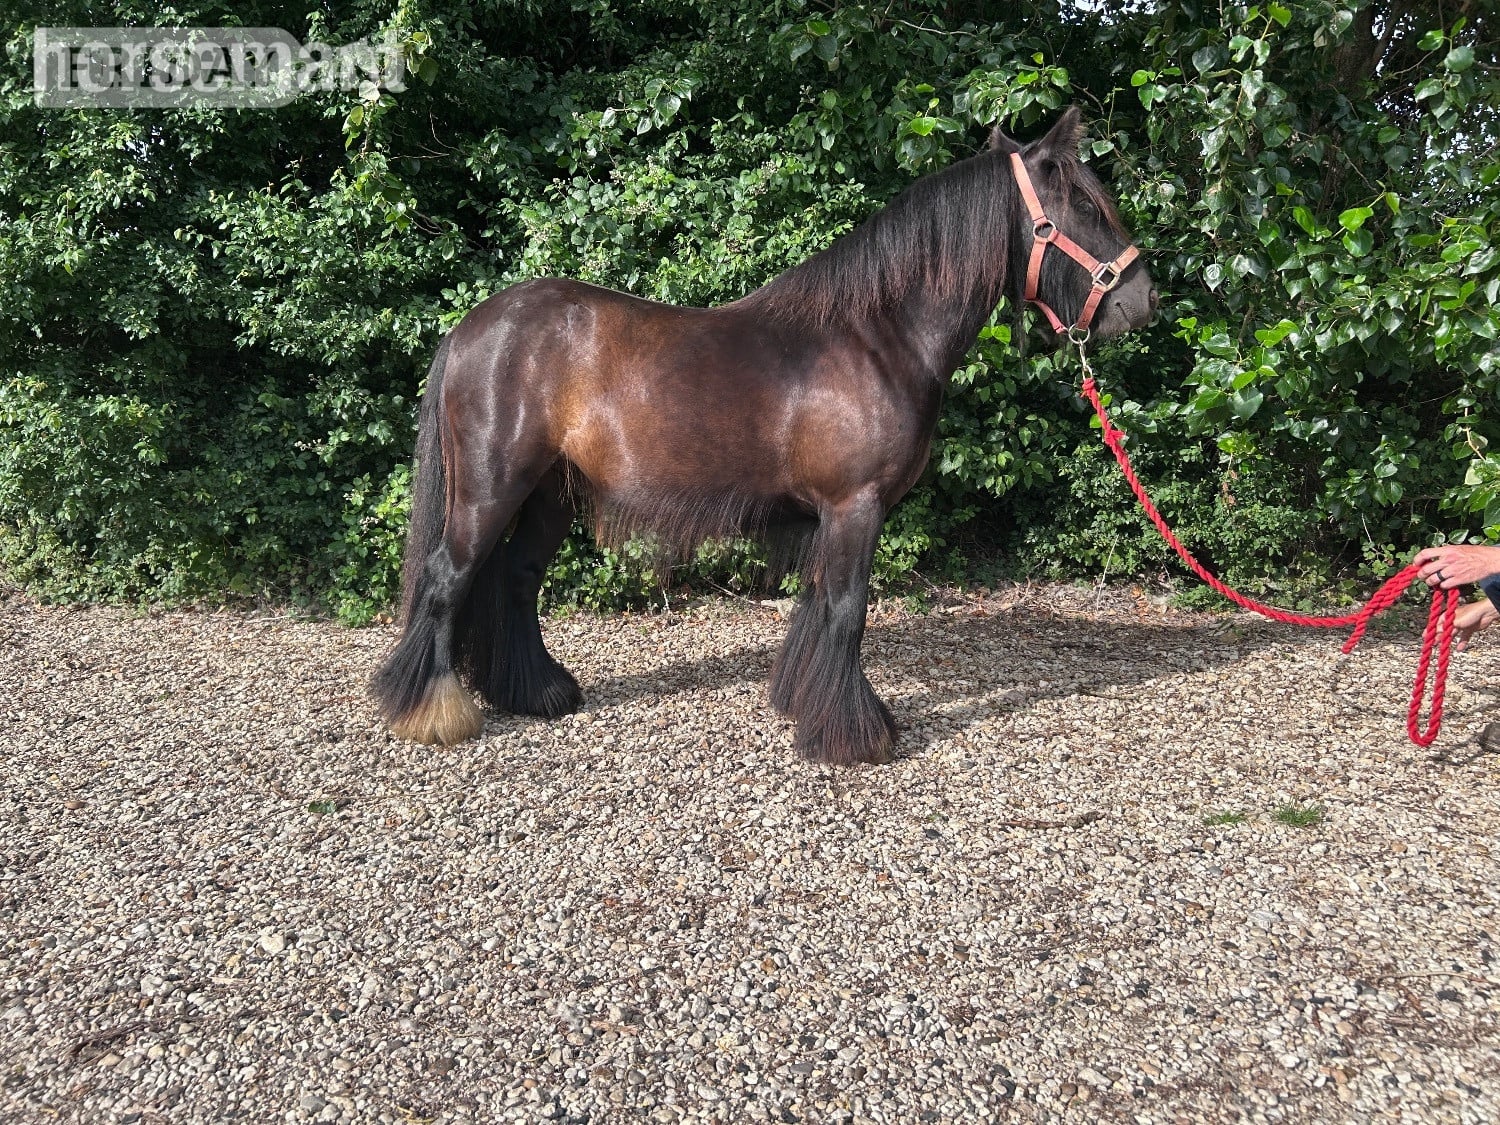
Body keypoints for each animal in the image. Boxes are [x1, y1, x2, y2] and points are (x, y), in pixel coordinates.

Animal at [371, 106, 1157, 765]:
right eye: (1087, 205)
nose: (1142, 301)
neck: (878, 337)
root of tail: (471, 327)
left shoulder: (828, 514)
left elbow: (819, 606)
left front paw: (803, 705)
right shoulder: (855, 505)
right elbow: (847, 609)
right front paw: (854, 735)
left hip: (550, 494)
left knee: (514, 579)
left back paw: (538, 694)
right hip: (491, 487)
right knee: (448, 576)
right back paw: (432, 713)